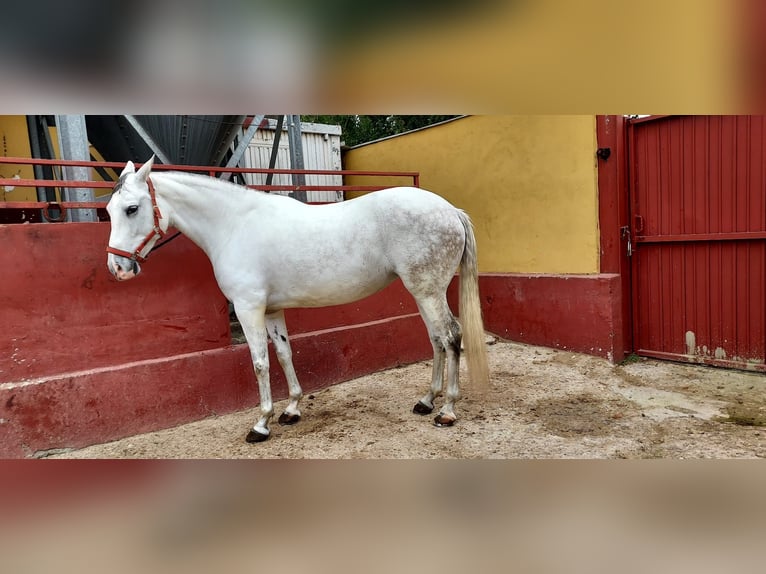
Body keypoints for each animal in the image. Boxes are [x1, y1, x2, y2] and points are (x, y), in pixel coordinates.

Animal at [106, 155, 492, 444]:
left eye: (131, 208)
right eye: (109, 209)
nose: (117, 268)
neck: (233, 225)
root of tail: (450, 211)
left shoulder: (248, 308)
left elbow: (260, 363)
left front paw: (261, 424)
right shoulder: (272, 310)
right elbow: (284, 354)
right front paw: (291, 409)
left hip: (427, 291)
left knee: (451, 337)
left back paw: (447, 410)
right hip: (423, 291)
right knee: (436, 340)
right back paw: (426, 401)